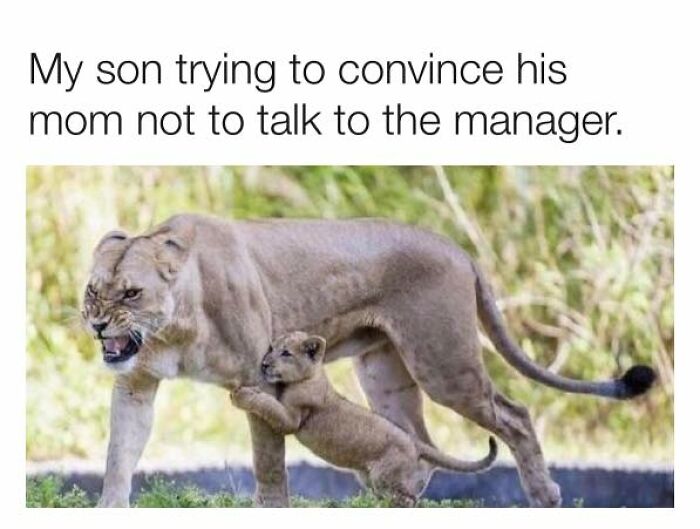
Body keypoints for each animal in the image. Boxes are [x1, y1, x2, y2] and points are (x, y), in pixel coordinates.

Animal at [230, 331, 498, 506]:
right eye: (271, 347)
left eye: (285, 353)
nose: (265, 364)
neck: (310, 376)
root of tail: (413, 442)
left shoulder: (292, 419)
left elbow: (269, 406)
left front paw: (242, 395)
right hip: (370, 479)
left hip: (384, 477)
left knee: (408, 499)